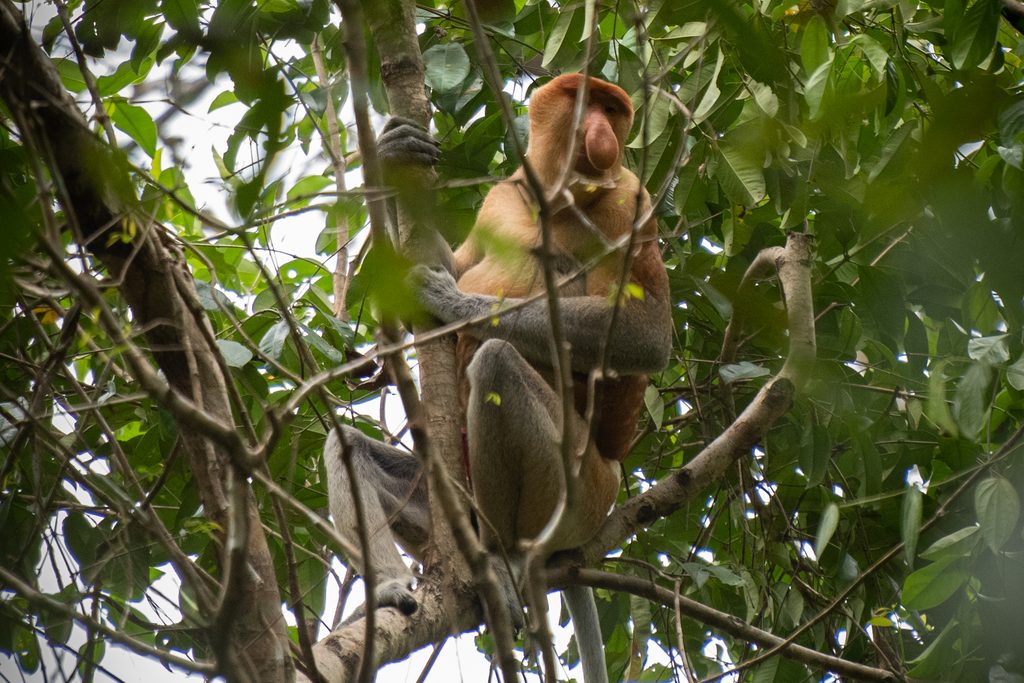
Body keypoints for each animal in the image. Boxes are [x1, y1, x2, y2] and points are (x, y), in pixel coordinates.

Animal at [323, 73, 672, 682]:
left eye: (613, 110)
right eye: (589, 104)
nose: (603, 136)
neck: (551, 195)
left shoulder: (628, 198)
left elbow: (647, 332)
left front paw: (453, 301)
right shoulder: (502, 196)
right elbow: (456, 261)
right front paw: (395, 148)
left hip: (584, 490)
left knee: (499, 364)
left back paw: (505, 560)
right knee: (347, 446)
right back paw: (390, 590)